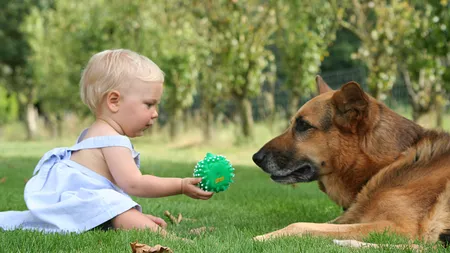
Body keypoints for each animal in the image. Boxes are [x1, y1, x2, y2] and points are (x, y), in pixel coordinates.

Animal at [251, 75, 450, 247]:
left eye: (303, 125)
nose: (256, 158)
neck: (387, 163)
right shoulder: (350, 218)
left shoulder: (399, 228)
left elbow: (299, 224)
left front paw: (261, 237)